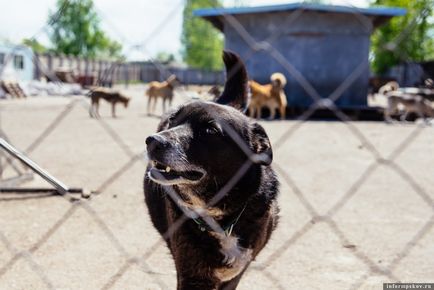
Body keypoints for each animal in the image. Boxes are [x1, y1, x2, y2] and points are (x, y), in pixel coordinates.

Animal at [144, 51, 280, 288]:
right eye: (173, 121)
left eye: (210, 130)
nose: (152, 141)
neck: (220, 219)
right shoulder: (192, 275)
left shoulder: (235, 274)